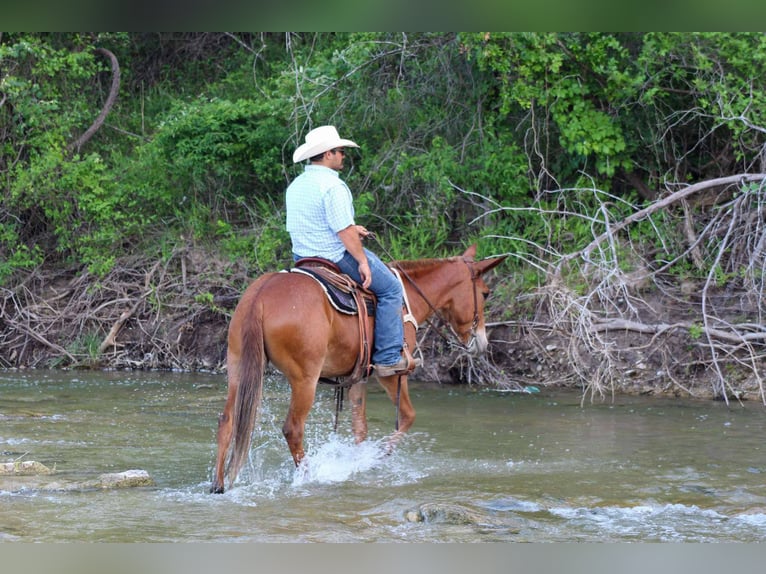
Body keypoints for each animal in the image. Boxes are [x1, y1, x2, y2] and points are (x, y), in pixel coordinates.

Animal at [210, 244, 506, 493]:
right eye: (485, 293)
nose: (482, 342)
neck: (408, 299)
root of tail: (262, 294)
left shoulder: (357, 378)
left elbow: (359, 429)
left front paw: (359, 463)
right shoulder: (392, 373)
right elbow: (407, 416)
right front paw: (376, 459)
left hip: (238, 367)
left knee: (227, 421)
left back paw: (218, 485)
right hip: (305, 379)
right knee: (292, 428)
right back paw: (307, 478)